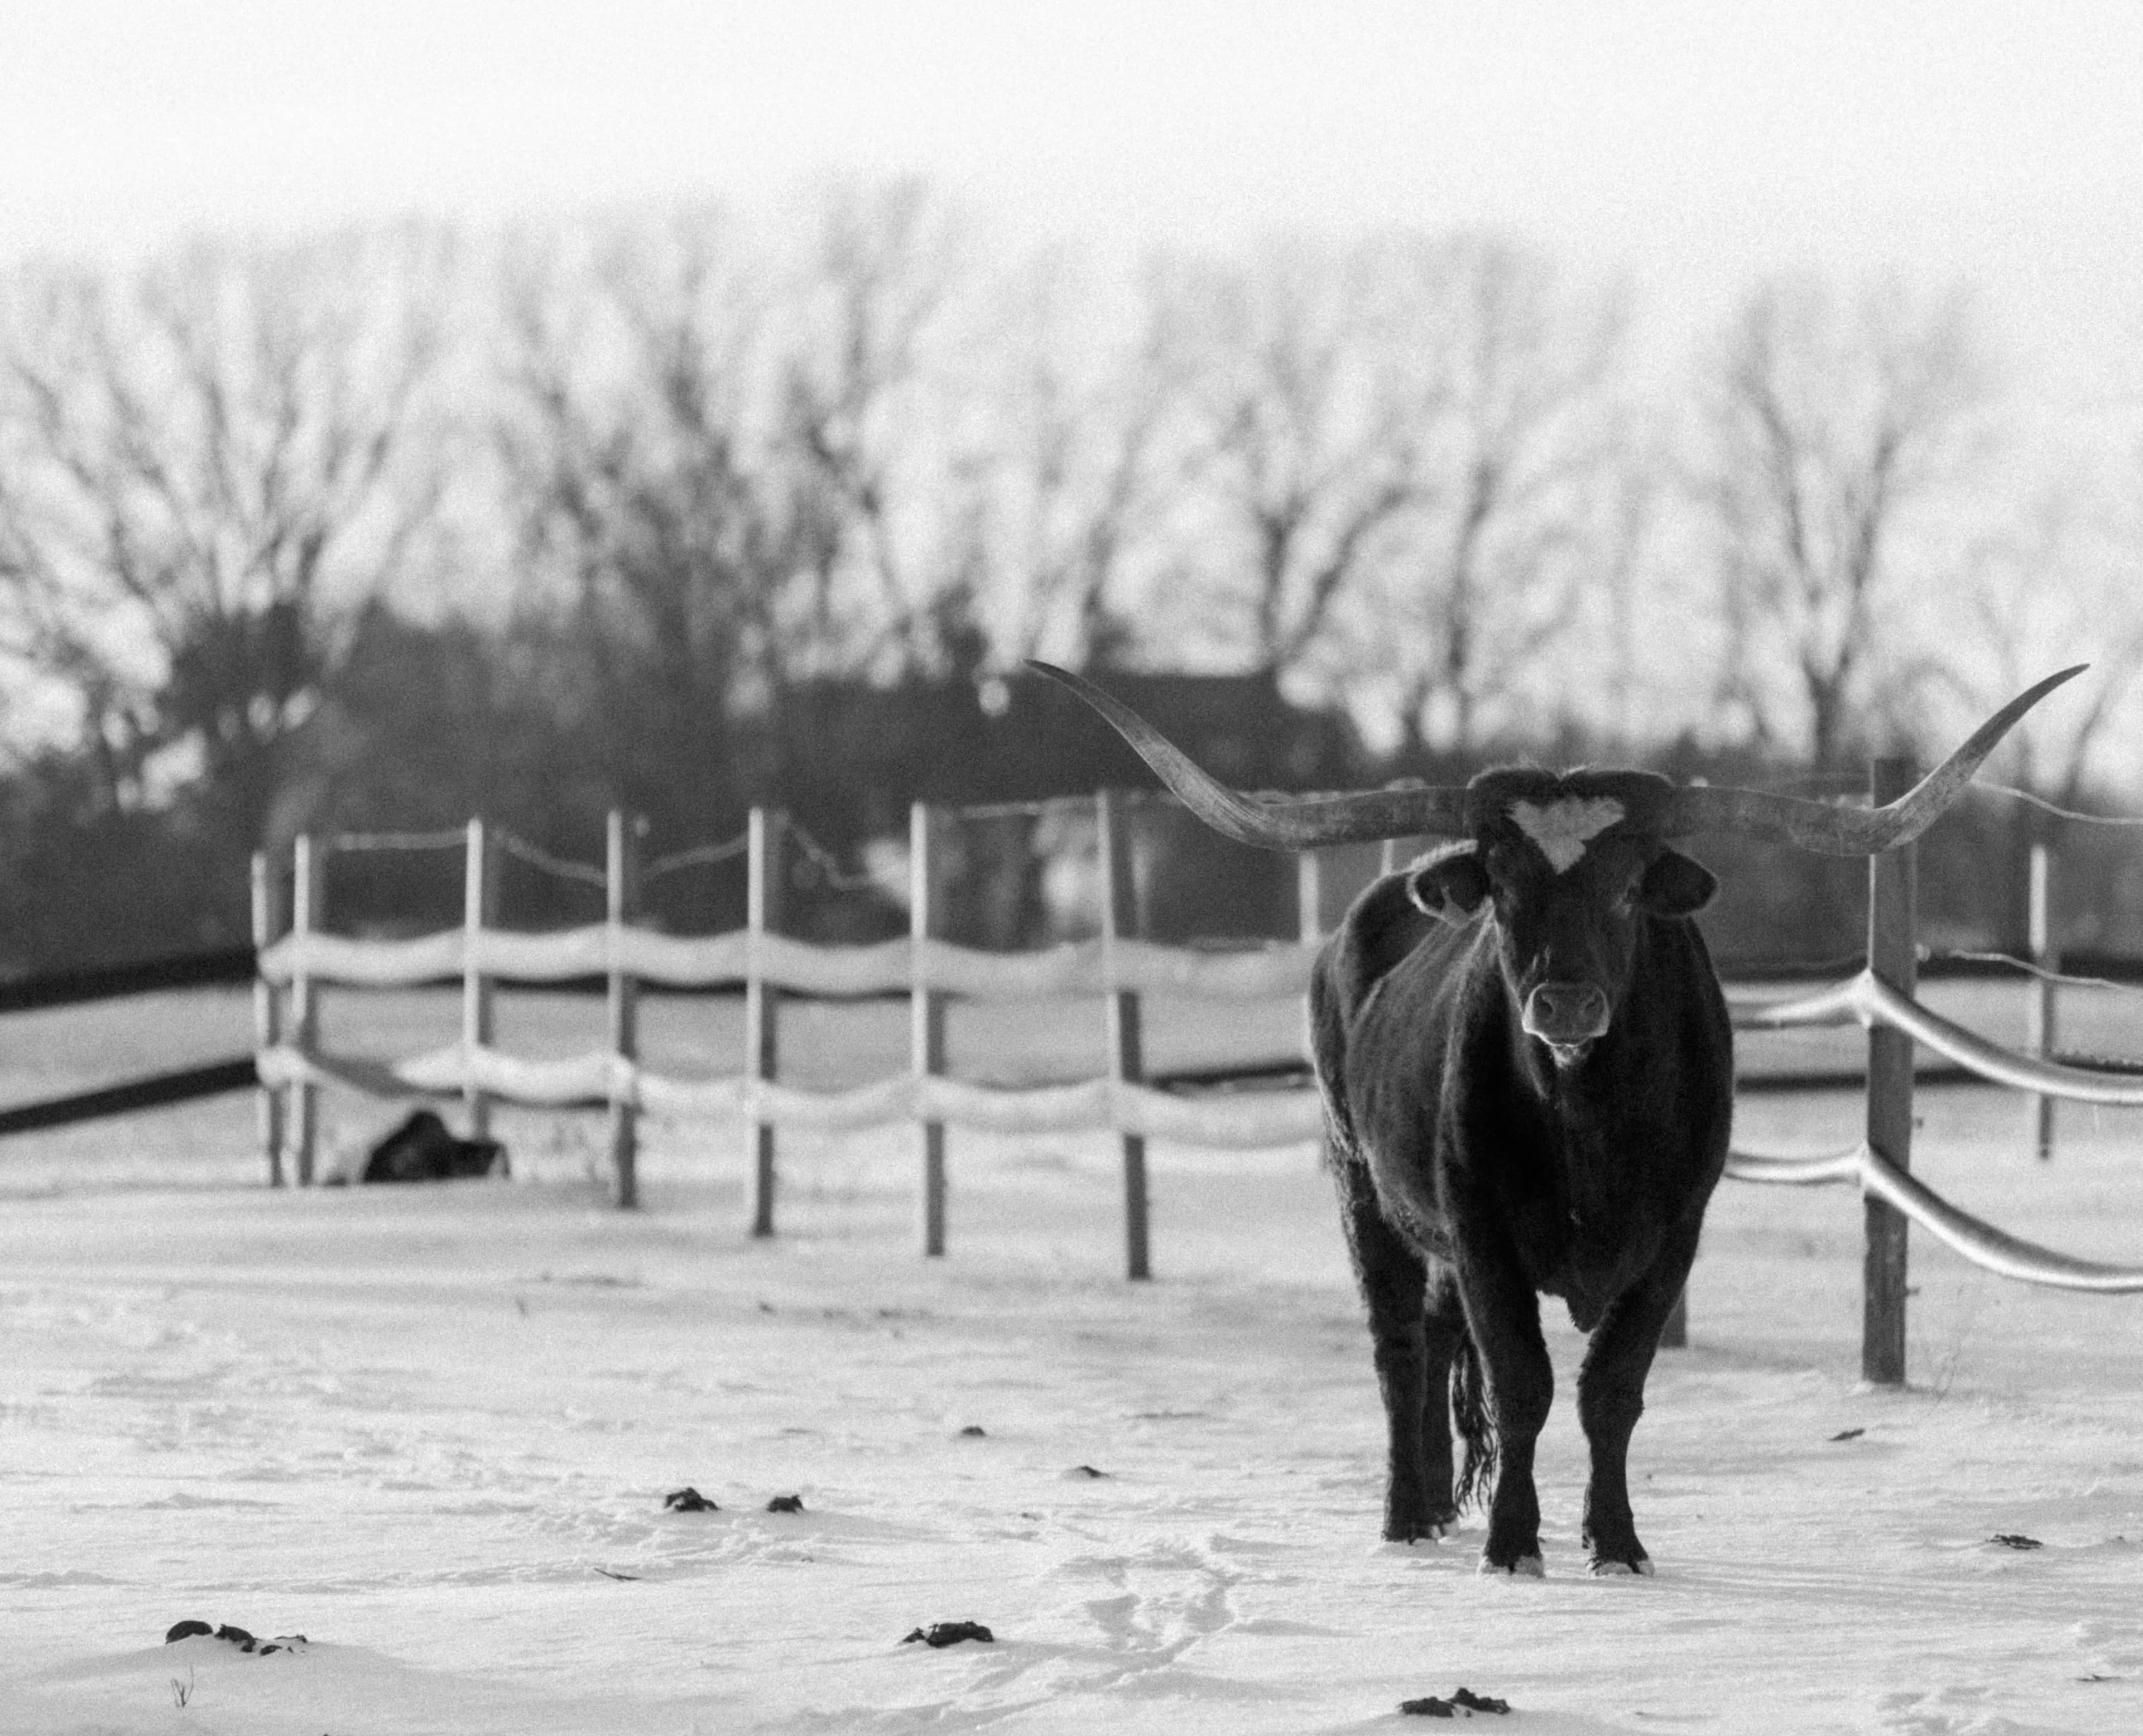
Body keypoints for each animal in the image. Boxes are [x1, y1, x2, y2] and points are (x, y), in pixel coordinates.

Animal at [1029, 659, 2081, 1577]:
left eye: (1628, 885)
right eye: (1503, 887)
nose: (1564, 1004)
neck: (1588, 1123)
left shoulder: (1673, 1238)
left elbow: (1612, 1389)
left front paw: (1615, 1543)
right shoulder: (1484, 1232)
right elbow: (1523, 1381)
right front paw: (1512, 1544)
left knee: (1437, 1340)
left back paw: (1440, 1501)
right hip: (1363, 1187)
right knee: (1399, 1348)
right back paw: (1406, 1517)